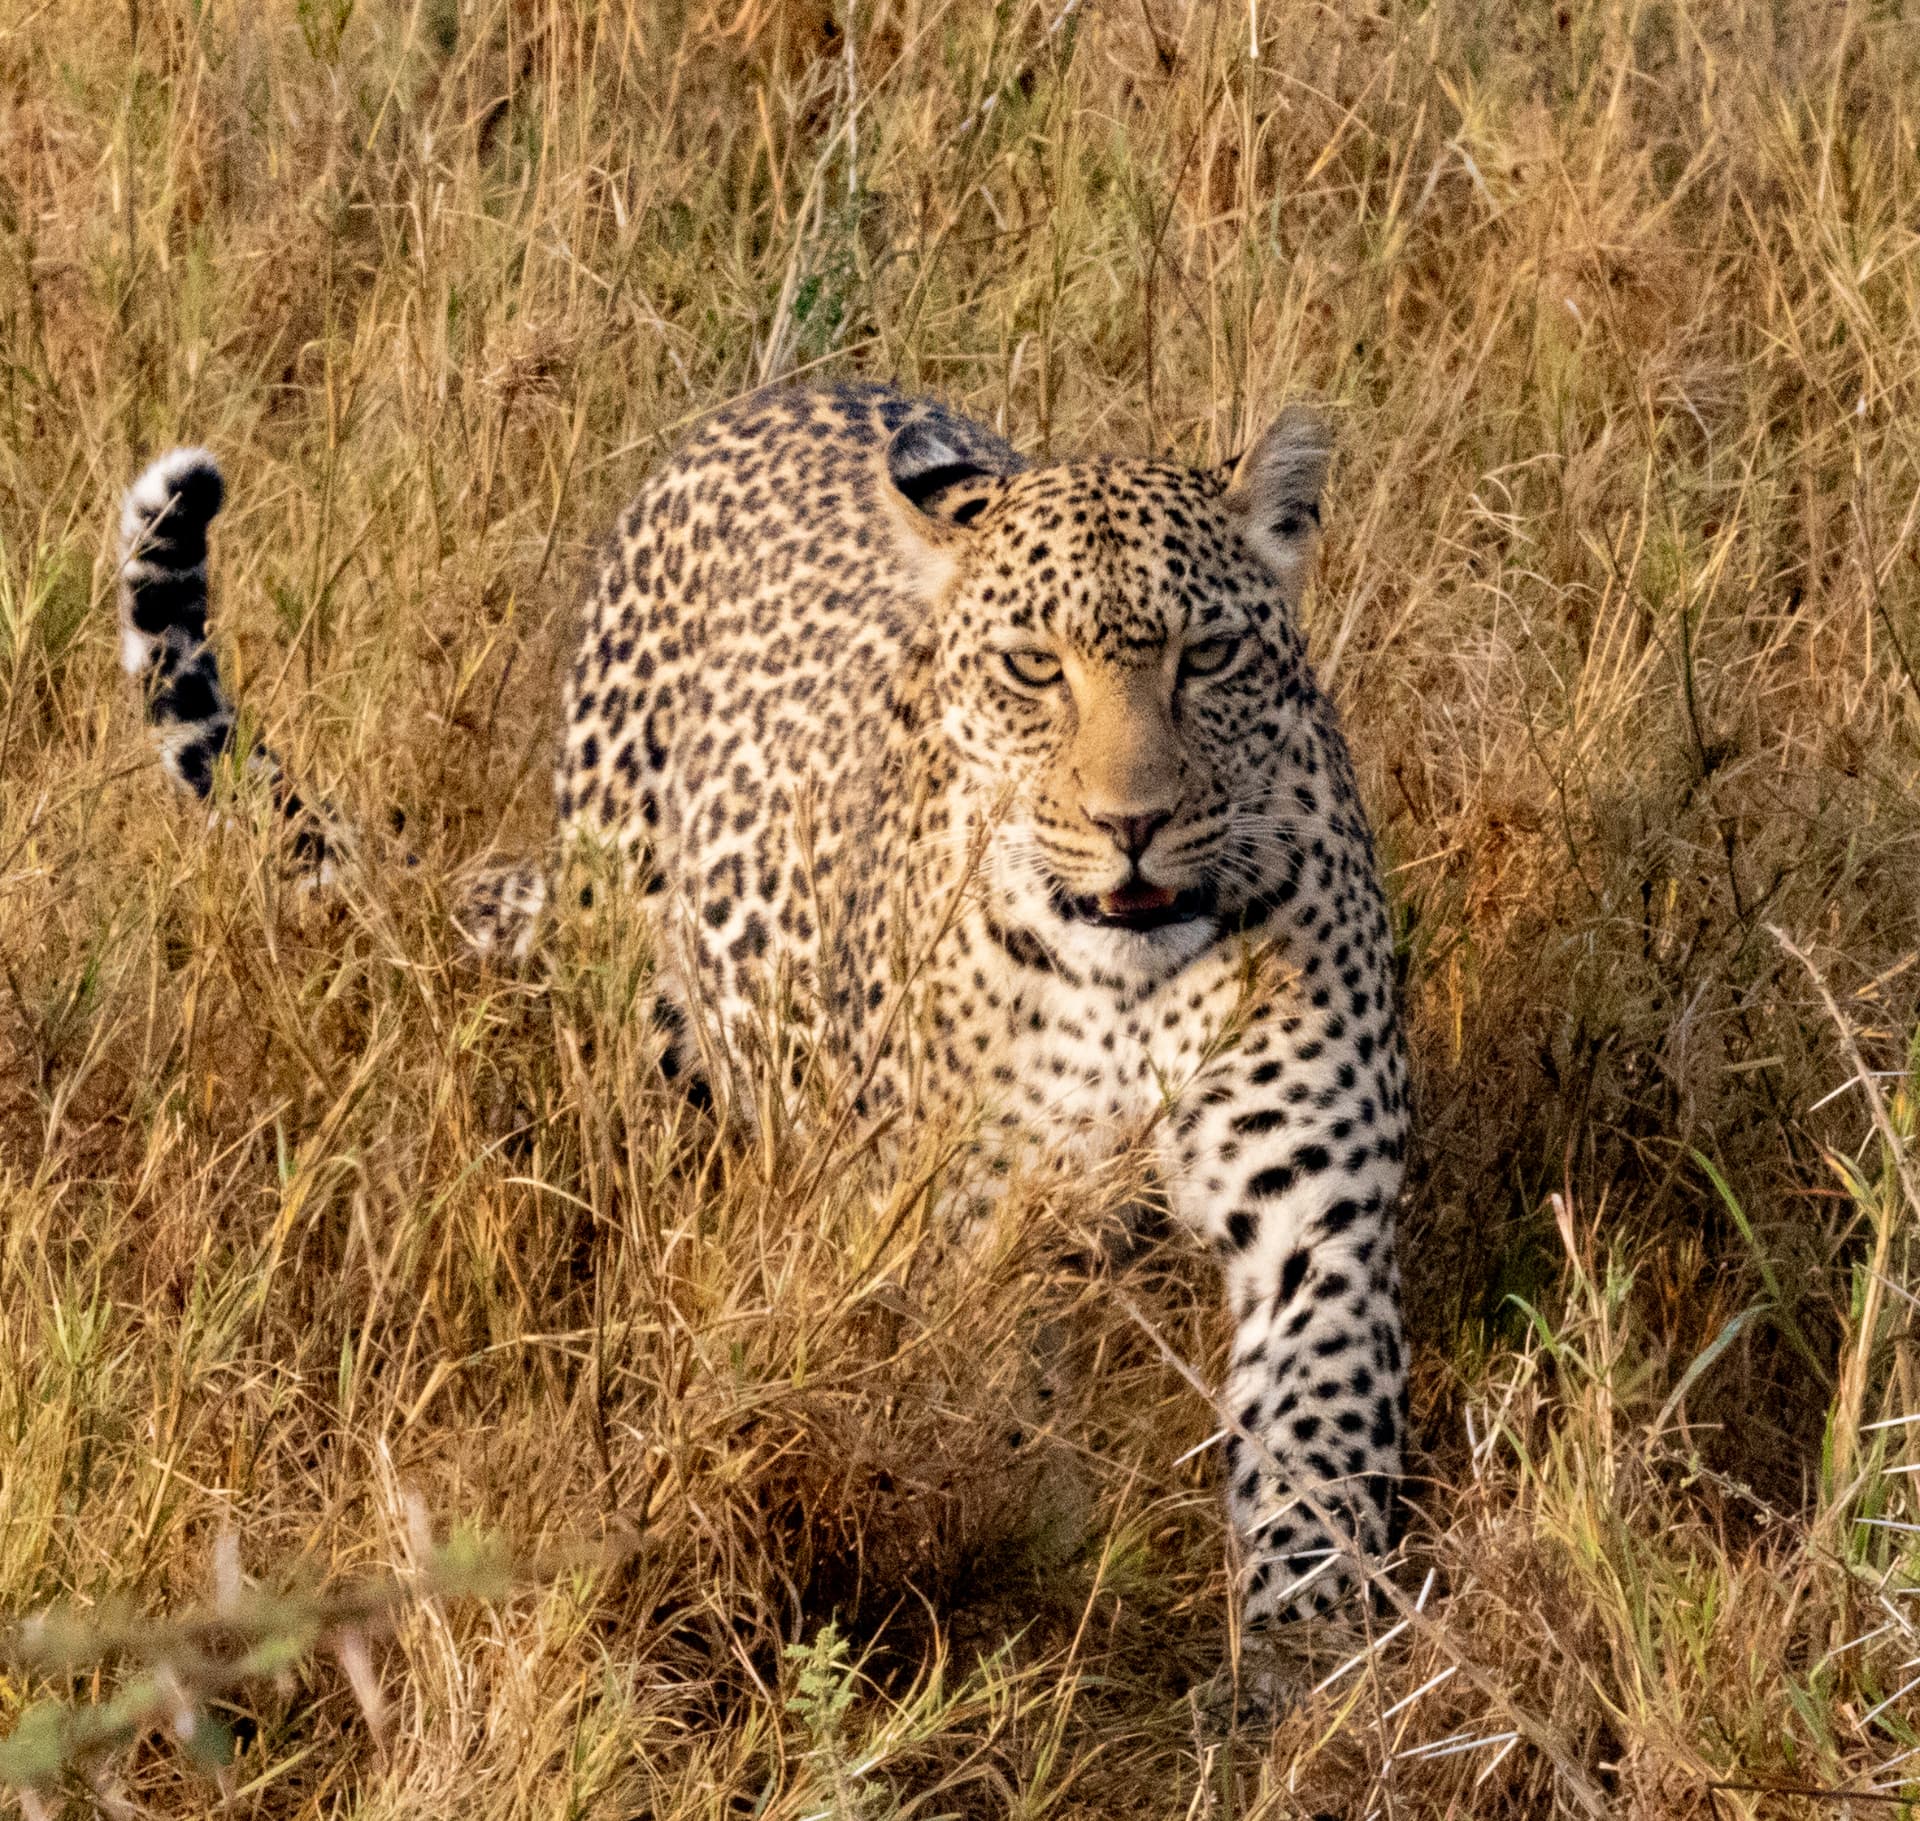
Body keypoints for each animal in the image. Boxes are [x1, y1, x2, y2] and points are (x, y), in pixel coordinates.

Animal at [117, 381, 1411, 1689]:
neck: (1125, 987)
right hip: (639, 1004)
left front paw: (1315, 1643)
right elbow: (989, 1415)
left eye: (1210, 656)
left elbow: (1319, 1426)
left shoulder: (1316, 1211)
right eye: (1034, 669)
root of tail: (775, 396)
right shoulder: (964, 1229)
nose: (1130, 824)